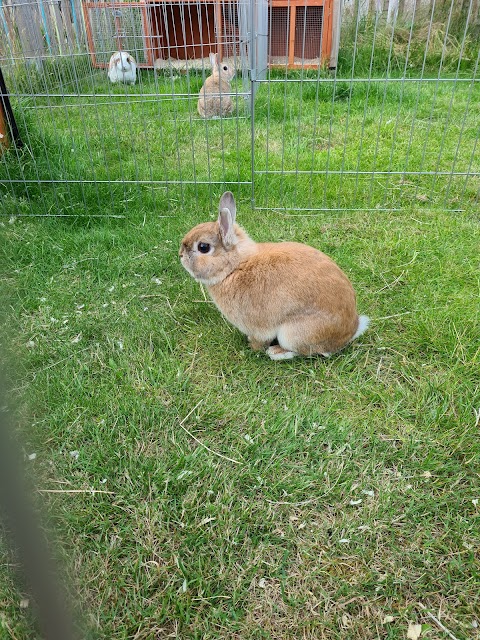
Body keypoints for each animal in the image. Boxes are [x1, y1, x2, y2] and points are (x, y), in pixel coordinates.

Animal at [178, 190, 370, 360]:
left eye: (203, 247)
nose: (180, 255)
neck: (234, 267)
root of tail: (350, 331)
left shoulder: (257, 327)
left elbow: (259, 340)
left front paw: (252, 347)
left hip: (292, 333)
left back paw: (276, 352)